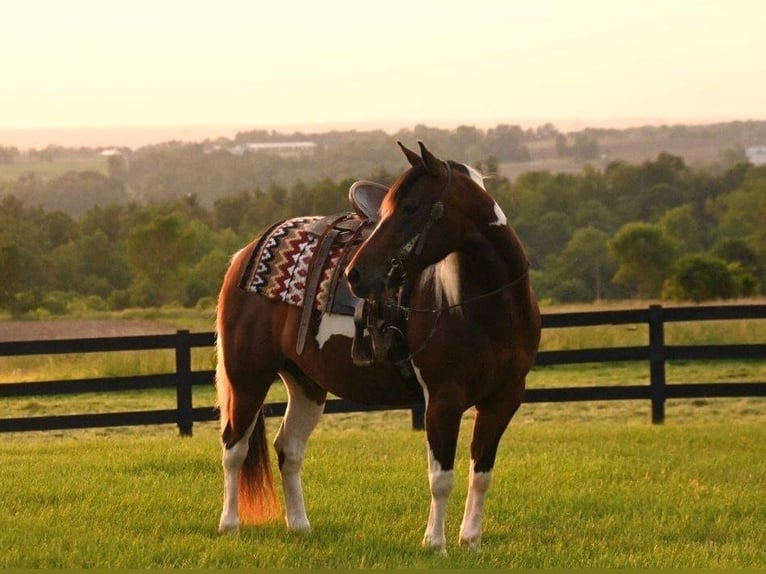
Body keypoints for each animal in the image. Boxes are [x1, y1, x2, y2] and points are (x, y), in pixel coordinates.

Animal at [215, 141, 541, 553]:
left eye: (411, 208)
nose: (354, 273)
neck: (484, 307)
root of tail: (246, 253)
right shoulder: (442, 400)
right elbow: (441, 477)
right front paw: (435, 543)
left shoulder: (504, 399)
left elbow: (481, 473)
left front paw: (471, 540)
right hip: (247, 378)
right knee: (234, 448)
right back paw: (230, 525)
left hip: (306, 384)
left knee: (289, 450)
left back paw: (300, 526)